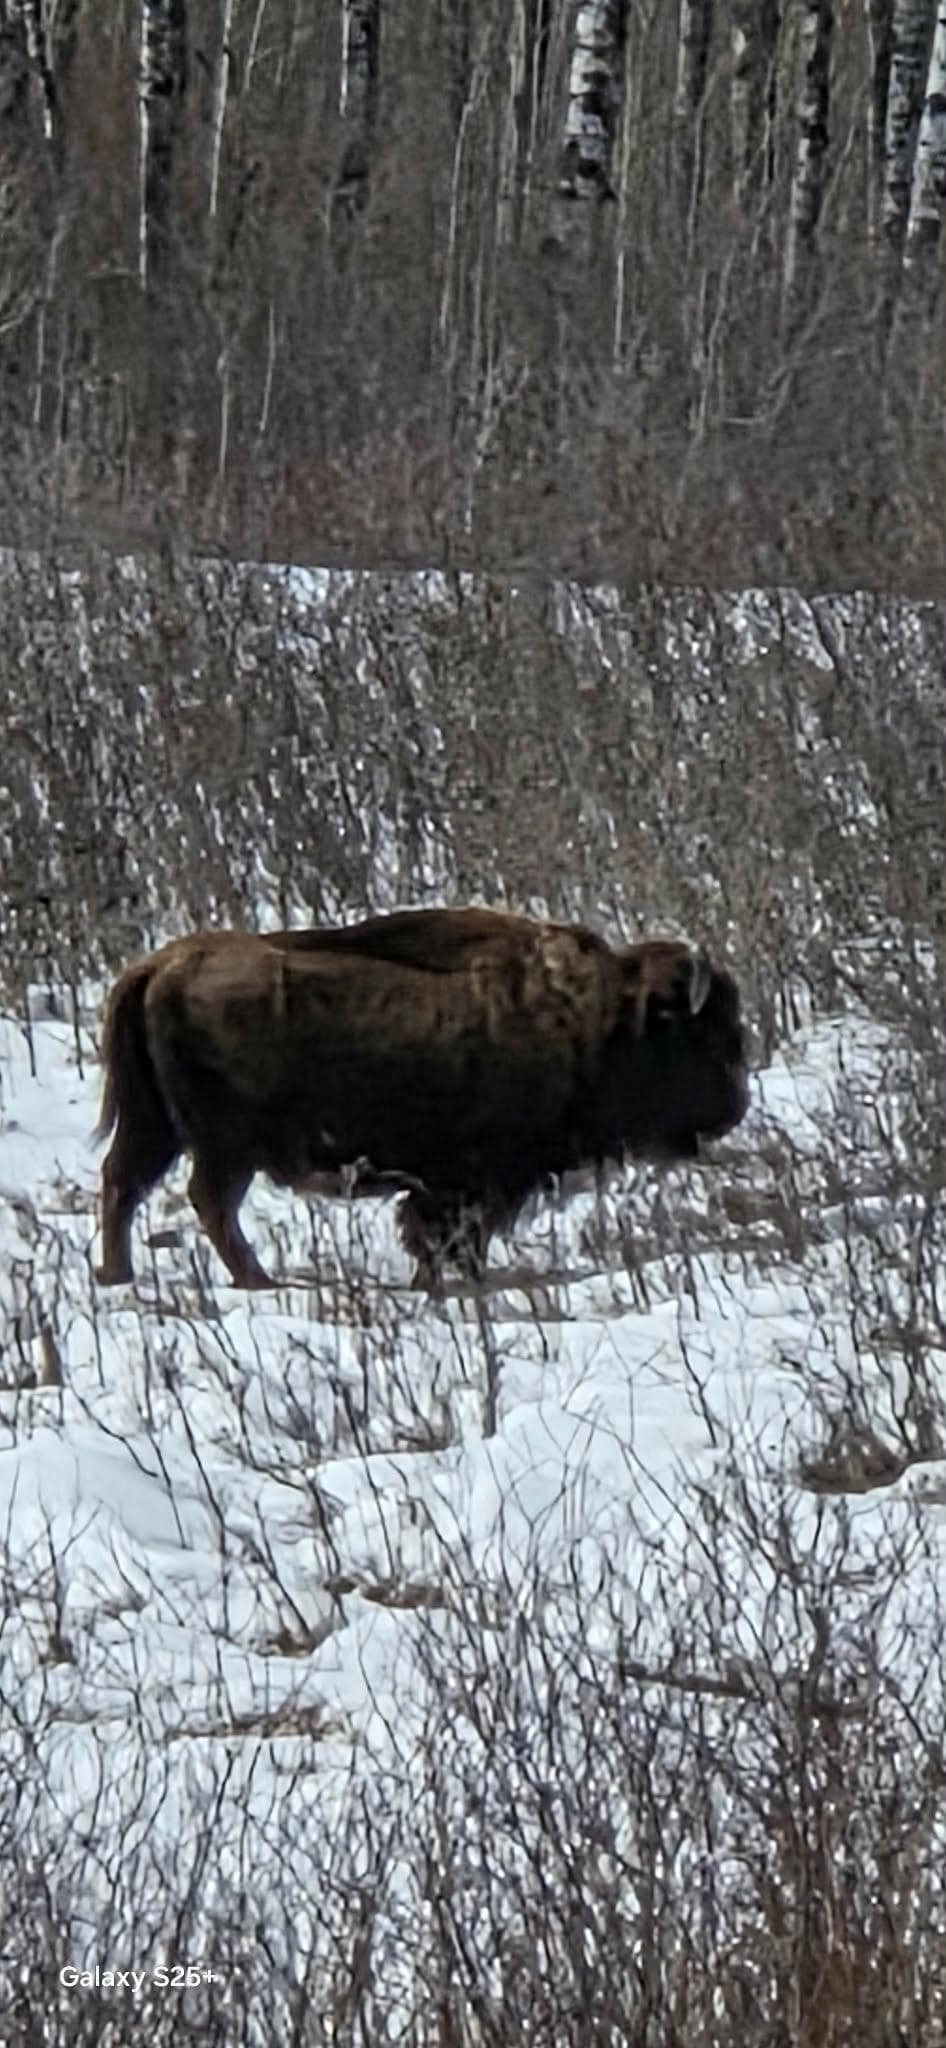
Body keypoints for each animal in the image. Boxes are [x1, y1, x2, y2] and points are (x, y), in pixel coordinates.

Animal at [94, 905, 749, 1291]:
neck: (601, 1021)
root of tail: (160, 965)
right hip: (227, 1146)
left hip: (158, 1130)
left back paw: (118, 1274)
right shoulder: (473, 1181)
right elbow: (444, 1230)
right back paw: (257, 1280)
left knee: (123, 1184)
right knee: (206, 1200)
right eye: (704, 1036)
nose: (734, 1108)